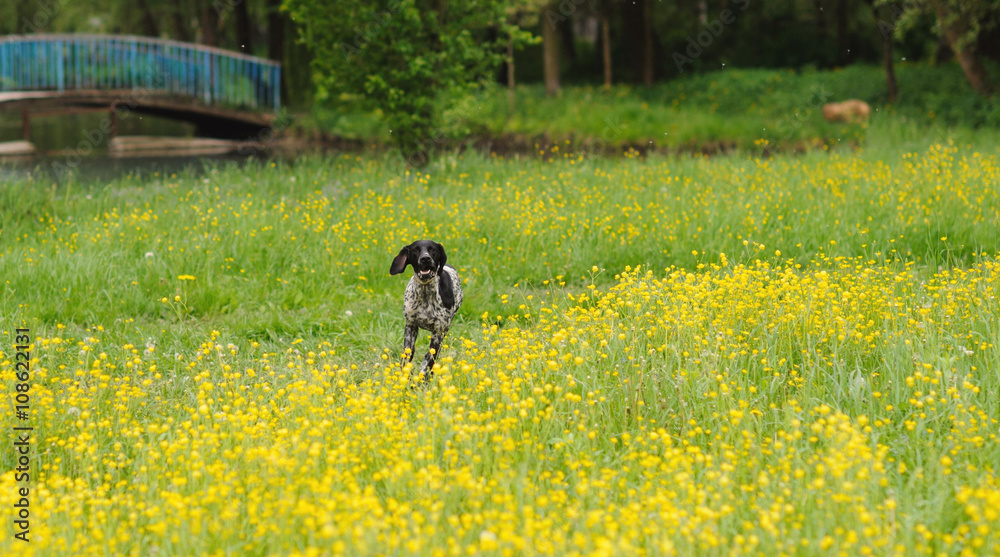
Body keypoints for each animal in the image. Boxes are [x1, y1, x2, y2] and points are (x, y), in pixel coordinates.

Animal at [388, 239, 462, 378]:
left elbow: (428, 359)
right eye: (415, 250)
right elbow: (407, 355)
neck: (424, 292)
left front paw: (421, 379)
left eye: (432, 249)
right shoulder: (411, 326)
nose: (425, 258)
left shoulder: (438, 333)